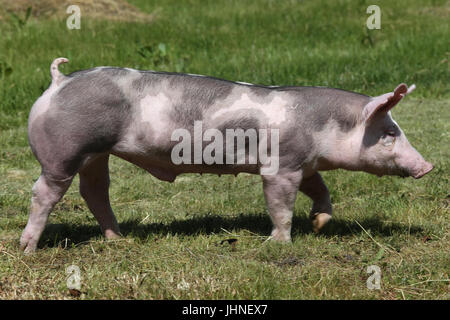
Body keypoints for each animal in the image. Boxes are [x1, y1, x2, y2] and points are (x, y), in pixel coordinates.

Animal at [20, 57, 432, 252]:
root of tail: (58, 83)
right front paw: (278, 244)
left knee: (95, 191)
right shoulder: (280, 167)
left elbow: (322, 190)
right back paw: (27, 249)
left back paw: (119, 240)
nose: (427, 166)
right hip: (63, 152)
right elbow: (281, 206)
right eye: (390, 133)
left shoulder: (305, 164)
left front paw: (318, 223)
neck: (321, 126)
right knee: (44, 193)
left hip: (96, 155)